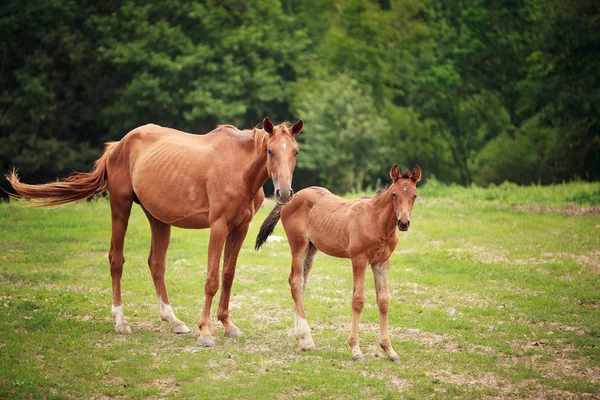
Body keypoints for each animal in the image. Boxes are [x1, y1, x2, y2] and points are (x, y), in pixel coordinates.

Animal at [6, 116, 302, 346]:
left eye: (295, 151)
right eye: (270, 151)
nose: (284, 193)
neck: (238, 168)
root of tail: (118, 145)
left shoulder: (240, 228)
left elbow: (228, 275)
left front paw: (228, 325)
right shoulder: (218, 227)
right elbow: (212, 280)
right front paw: (205, 332)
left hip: (158, 219)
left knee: (156, 264)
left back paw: (173, 320)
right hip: (120, 206)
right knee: (116, 260)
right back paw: (120, 321)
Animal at [256, 164, 422, 360]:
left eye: (414, 195)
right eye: (394, 194)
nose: (403, 223)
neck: (376, 221)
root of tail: (293, 197)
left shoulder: (381, 263)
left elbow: (383, 301)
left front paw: (389, 349)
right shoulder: (359, 260)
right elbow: (358, 300)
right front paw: (355, 349)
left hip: (311, 249)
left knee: (299, 282)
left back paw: (301, 338)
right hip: (298, 246)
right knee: (296, 283)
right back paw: (306, 339)